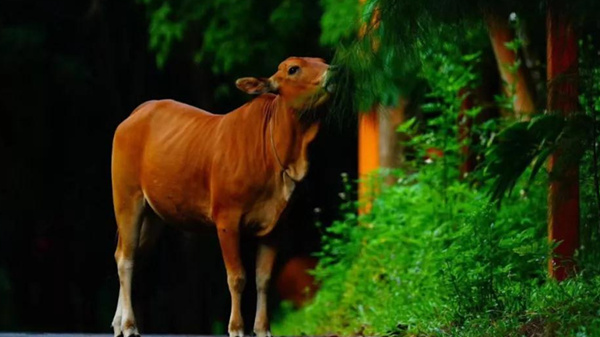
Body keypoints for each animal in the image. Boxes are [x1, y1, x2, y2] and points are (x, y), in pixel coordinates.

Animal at [110, 56, 336, 334]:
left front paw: (263, 328)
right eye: (293, 68)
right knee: (126, 259)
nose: (332, 72)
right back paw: (129, 325)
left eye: (322, 61)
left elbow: (263, 279)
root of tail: (138, 112)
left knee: (131, 255)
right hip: (127, 199)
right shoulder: (227, 220)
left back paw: (119, 323)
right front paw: (237, 327)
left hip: (153, 215)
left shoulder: (276, 225)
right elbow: (237, 277)